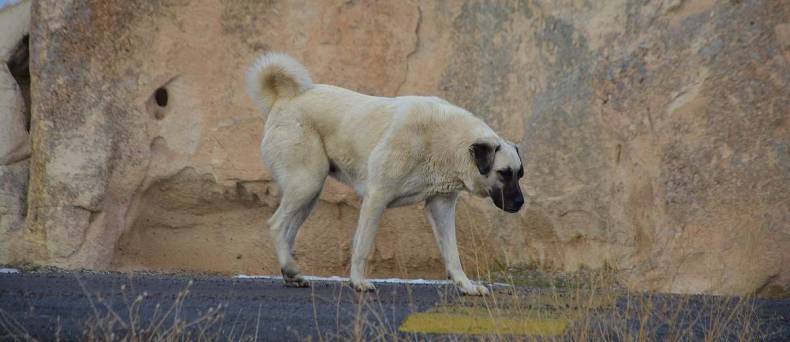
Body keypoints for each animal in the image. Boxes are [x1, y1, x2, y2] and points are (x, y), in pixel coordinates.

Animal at [244, 52, 524, 296]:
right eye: (503, 173)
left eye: (520, 174)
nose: (521, 203)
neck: (446, 140)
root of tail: (285, 99)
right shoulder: (376, 197)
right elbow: (363, 245)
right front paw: (358, 282)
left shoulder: (441, 207)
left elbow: (452, 253)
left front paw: (466, 286)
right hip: (307, 184)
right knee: (277, 225)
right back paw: (290, 268)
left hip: (309, 194)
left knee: (289, 230)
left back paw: (290, 272)